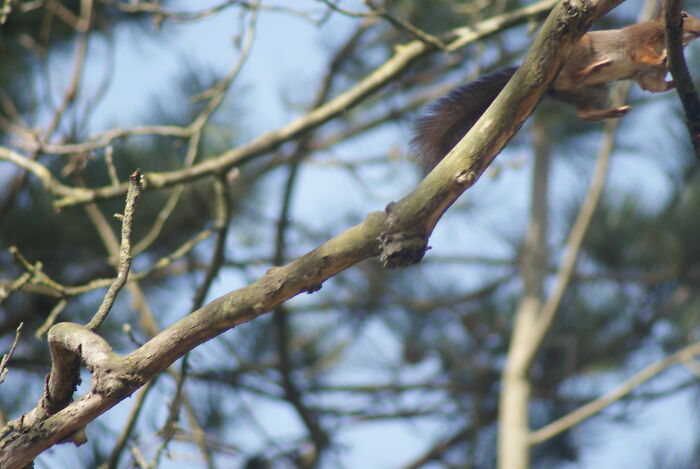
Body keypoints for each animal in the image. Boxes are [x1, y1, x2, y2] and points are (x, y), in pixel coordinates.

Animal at [412, 11, 700, 173]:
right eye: (687, 16)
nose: (699, 29)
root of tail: (551, 85)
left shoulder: (646, 76)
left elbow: (654, 85)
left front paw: (678, 81)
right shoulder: (640, 38)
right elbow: (639, 53)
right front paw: (662, 57)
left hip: (593, 92)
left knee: (585, 114)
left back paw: (614, 110)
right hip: (579, 53)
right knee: (575, 76)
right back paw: (596, 66)